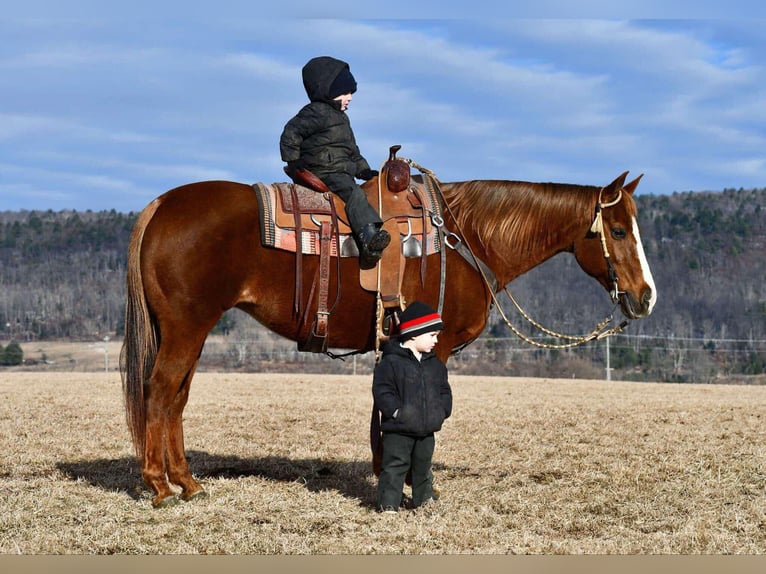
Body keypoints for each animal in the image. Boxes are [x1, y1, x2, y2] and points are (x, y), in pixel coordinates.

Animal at [121, 169, 660, 506]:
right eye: (617, 230)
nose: (646, 297)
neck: (465, 240)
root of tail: (161, 204)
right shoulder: (437, 347)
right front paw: (419, 488)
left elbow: (384, 411)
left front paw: (386, 473)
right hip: (187, 328)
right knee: (160, 392)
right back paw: (160, 486)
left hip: (187, 331)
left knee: (176, 398)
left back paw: (187, 482)